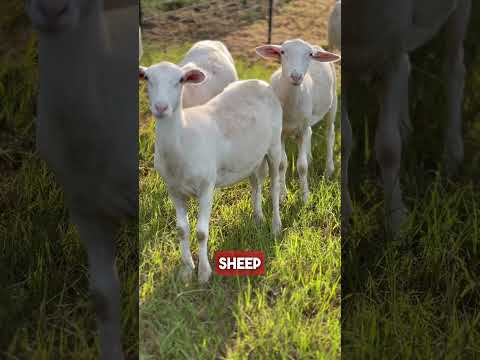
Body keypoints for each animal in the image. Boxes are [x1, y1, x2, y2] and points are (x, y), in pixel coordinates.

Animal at [139, 62, 284, 282]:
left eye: (180, 80)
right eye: (147, 78)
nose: (161, 107)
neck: (183, 138)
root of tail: (260, 83)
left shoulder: (206, 187)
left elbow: (201, 232)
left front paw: (204, 273)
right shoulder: (173, 190)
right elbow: (181, 230)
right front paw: (187, 270)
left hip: (274, 145)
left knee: (274, 186)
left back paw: (276, 226)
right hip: (251, 156)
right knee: (256, 183)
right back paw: (258, 218)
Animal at [256, 39, 340, 204]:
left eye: (310, 55)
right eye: (282, 52)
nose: (296, 76)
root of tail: (317, 46)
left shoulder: (301, 129)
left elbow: (302, 166)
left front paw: (305, 197)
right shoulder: (281, 133)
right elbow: (282, 164)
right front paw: (282, 196)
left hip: (333, 102)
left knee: (330, 134)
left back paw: (329, 169)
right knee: (311, 132)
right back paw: (310, 157)